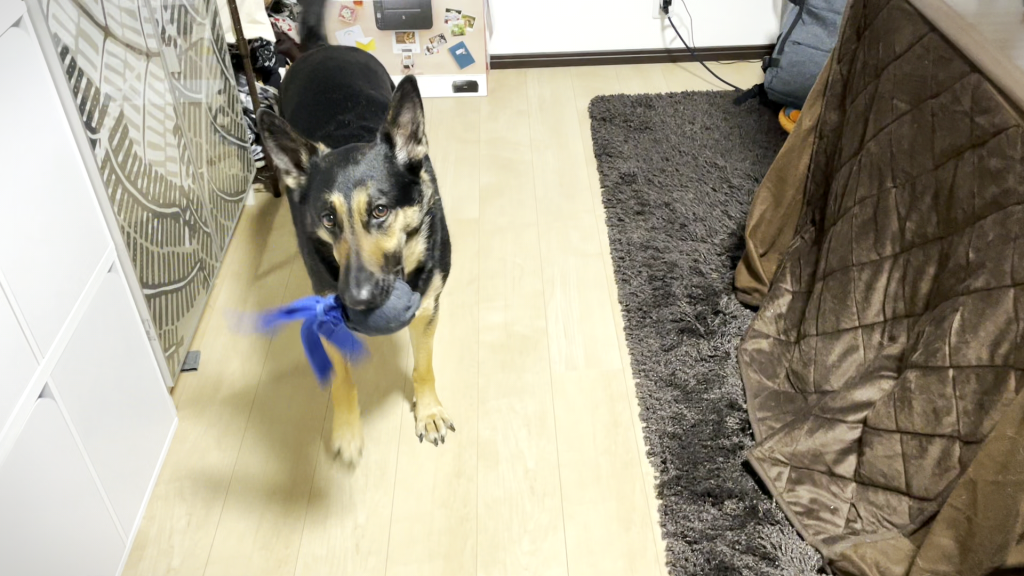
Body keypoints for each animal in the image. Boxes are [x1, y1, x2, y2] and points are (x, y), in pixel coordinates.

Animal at [256, 8, 452, 465]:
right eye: (328, 219)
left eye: (380, 211)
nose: (356, 298)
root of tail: (319, 48)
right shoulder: (327, 313)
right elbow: (342, 377)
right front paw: (346, 429)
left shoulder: (428, 305)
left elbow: (424, 365)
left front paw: (428, 411)